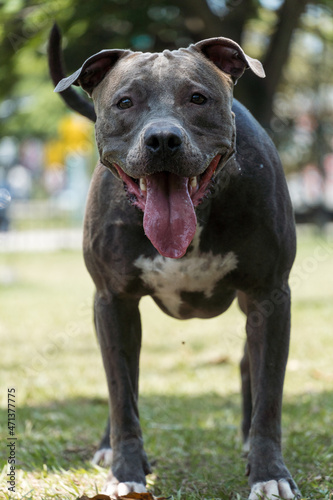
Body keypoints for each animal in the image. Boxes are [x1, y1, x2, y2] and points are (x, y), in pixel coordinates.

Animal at [49, 24, 300, 500]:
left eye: (197, 98)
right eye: (125, 102)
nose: (163, 139)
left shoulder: (270, 296)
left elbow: (270, 396)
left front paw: (269, 472)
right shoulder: (113, 301)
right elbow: (121, 394)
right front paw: (126, 472)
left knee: (248, 366)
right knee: (122, 379)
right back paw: (109, 447)